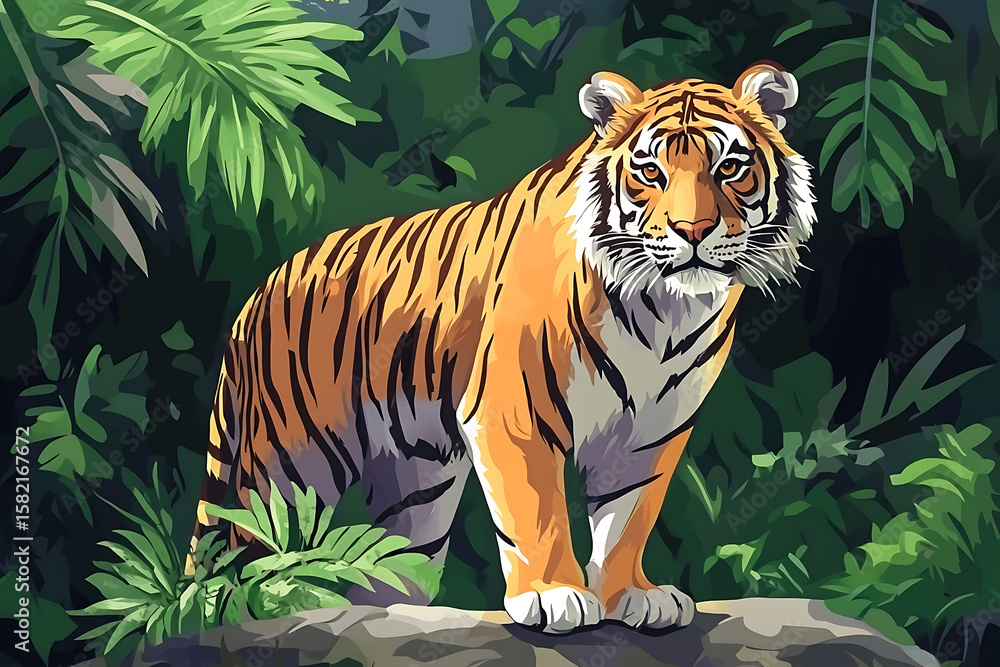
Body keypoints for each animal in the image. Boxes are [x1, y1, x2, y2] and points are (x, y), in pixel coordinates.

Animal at [187, 62, 815, 634]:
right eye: (651, 172)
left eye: (730, 168)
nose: (693, 231)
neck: (664, 312)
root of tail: (256, 295)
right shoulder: (513, 410)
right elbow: (536, 510)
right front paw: (553, 596)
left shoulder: (652, 432)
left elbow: (629, 518)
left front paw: (631, 596)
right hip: (285, 466)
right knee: (242, 555)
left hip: (418, 488)